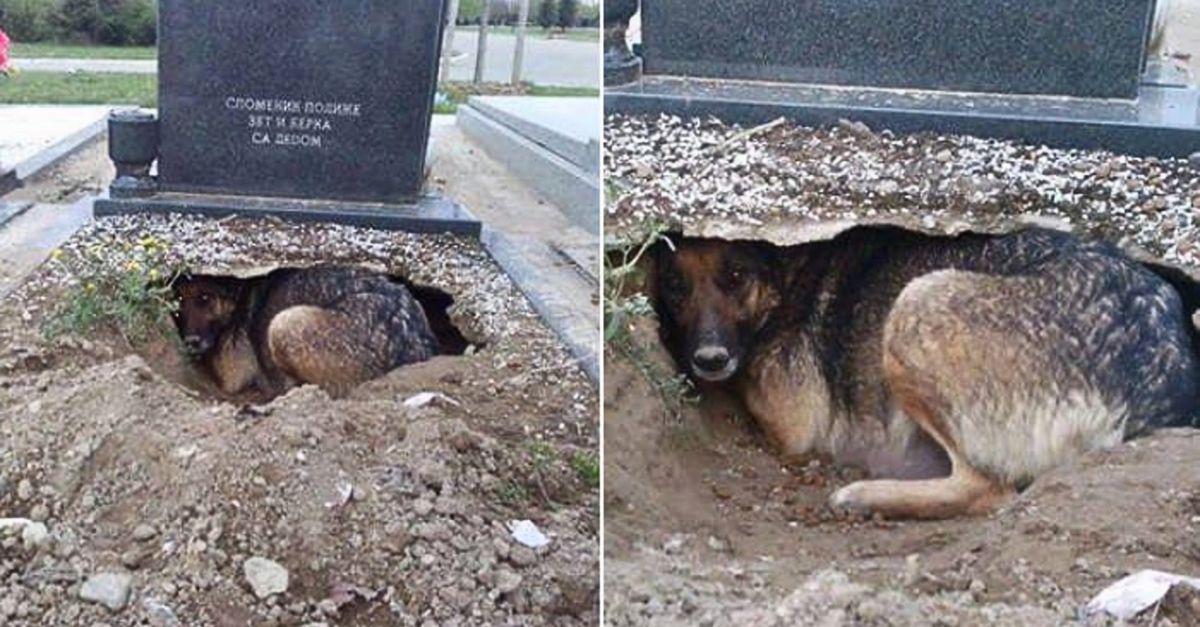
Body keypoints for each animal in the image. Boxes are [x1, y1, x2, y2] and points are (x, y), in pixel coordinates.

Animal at [657, 224, 1200, 516]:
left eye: (735, 276)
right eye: (675, 288)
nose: (709, 359)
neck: (792, 280)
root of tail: (1158, 375)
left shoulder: (790, 423)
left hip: (917, 302)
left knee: (989, 489)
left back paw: (865, 494)